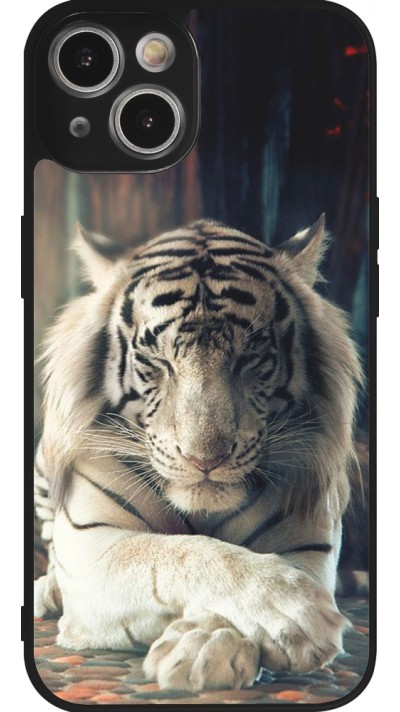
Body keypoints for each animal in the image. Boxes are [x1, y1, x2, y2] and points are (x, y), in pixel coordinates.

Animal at [34, 215, 363, 692]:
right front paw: (293, 612)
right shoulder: (92, 544)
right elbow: (180, 553)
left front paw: (206, 647)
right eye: (157, 361)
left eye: (251, 358)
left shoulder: (308, 542)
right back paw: (47, 590)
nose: (204, 460)